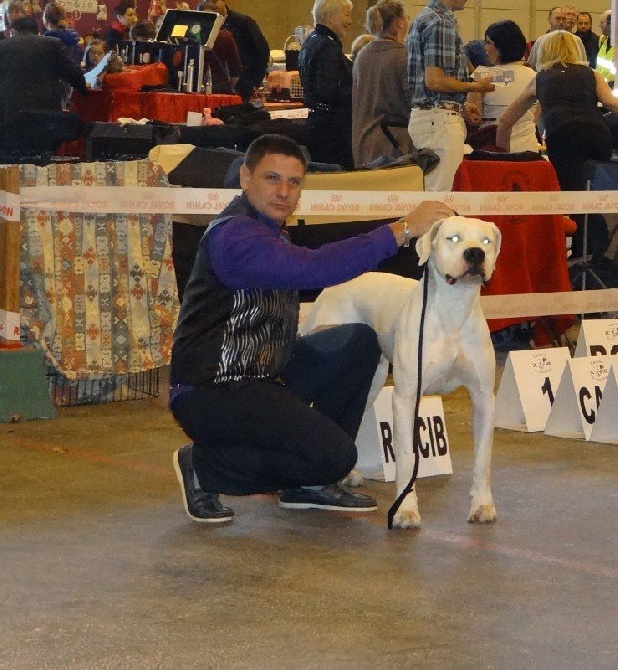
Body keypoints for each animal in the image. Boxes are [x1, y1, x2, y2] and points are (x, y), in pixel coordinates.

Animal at [300, 218, 500, 532]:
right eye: (453, 238)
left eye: (486, 241)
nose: (475, 254)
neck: (453, 311)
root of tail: (333, 286)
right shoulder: (406, 397)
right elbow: (406, 457)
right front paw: (405, 511)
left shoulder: (483, 399)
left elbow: (483, 459)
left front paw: (482, 506)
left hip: (374, 379)